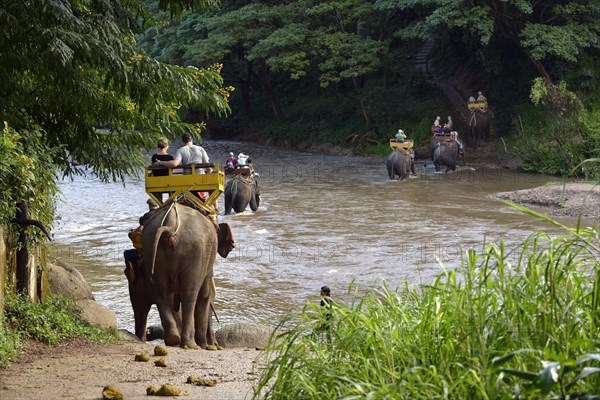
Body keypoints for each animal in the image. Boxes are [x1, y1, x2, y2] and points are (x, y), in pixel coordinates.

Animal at [127, 203, 233, 346]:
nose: (141, 338)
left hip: (153, 252)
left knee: (162, 295)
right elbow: (205, 295)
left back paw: (173, 338)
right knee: (189, 295)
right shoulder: (207, 265)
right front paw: (206, 345)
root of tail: (170, 226)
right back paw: (190, 344)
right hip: (194, 253)